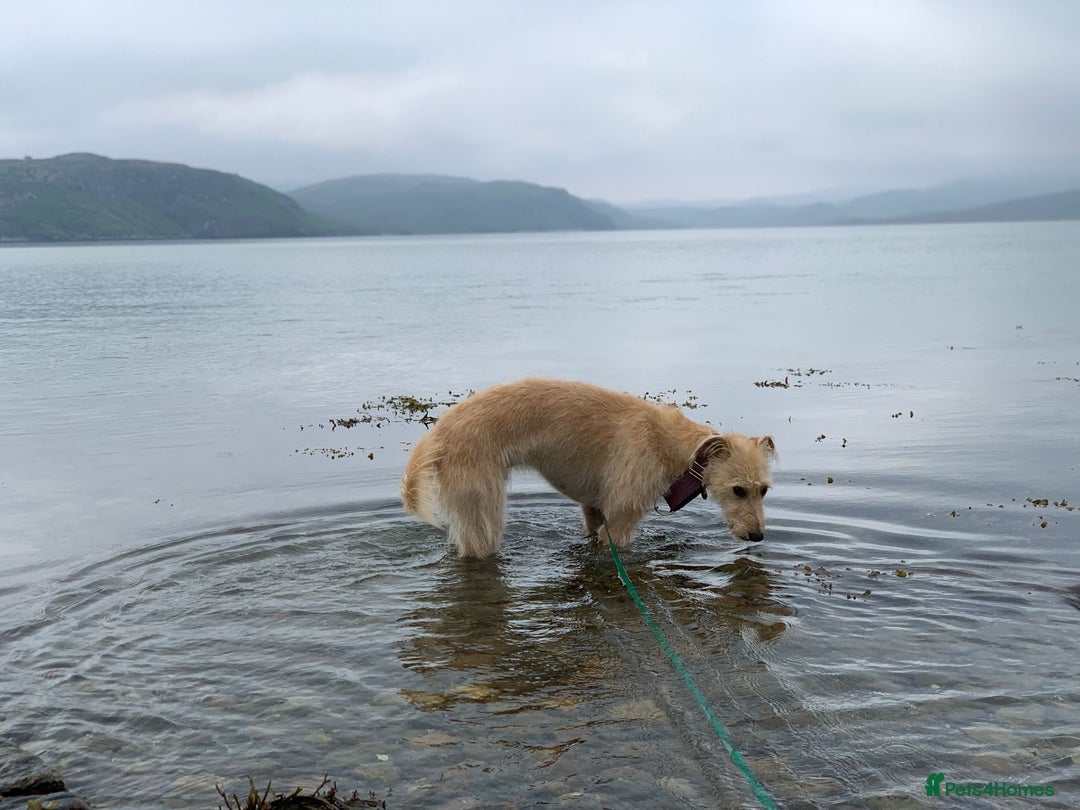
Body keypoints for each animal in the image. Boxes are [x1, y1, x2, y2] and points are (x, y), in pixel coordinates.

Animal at [400, 378, 776, 557]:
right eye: (738, 490)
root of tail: (438, 434)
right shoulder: (621, 518)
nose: (757, 536)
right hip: (482, 505)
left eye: (763, 490)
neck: (669, 442)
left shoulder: (593, 509)